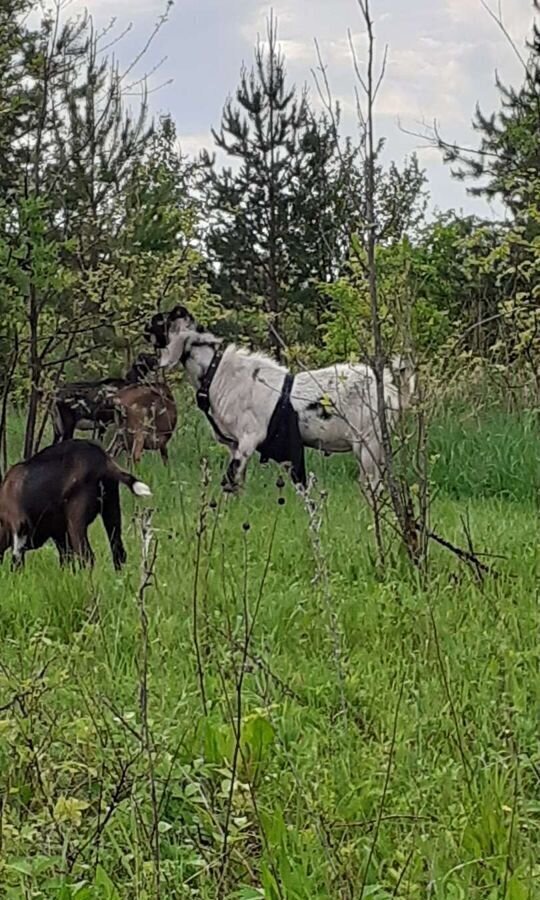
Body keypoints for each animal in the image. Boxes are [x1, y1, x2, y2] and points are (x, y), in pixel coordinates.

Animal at [0, 438, 151, 568]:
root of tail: (102, 460)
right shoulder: (60, 534)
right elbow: (66, 561)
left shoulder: (19, 531)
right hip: (111, 511)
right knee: (118, 552)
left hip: (76, 522)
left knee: (87, 557)